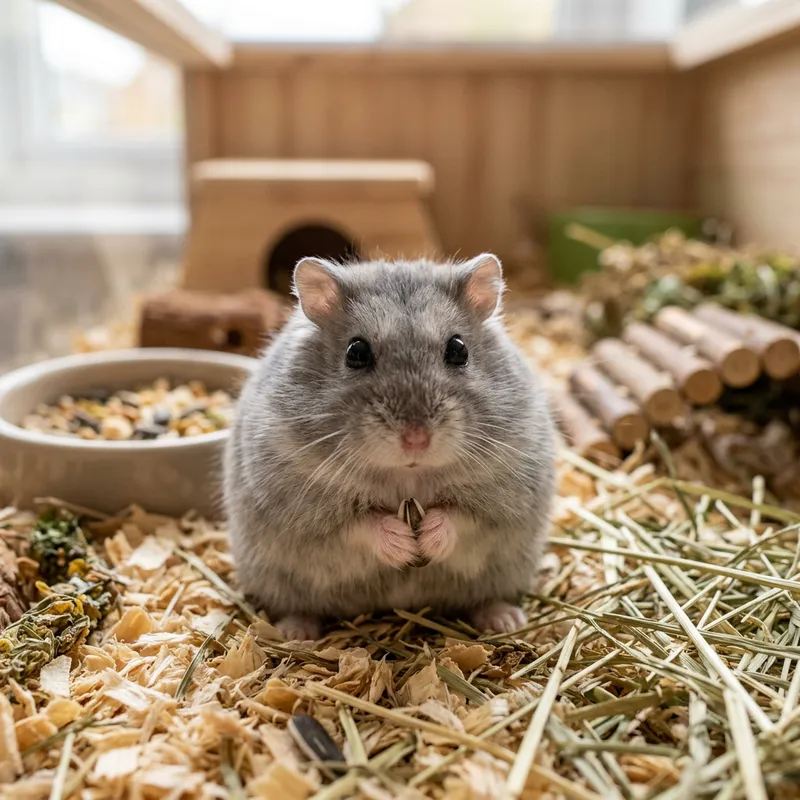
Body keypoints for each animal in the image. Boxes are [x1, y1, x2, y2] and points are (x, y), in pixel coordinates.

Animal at [224, 254, 556, 641]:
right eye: (356, 352)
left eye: (458, 349)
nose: (416, 439)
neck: (407, 473)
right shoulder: (309, 510)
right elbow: (363, 524)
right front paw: (405, 548)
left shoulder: (502, 497)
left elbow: (459, 516)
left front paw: (425, 542)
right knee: (299, 607)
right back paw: (296, 634)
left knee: (488, 598)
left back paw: (506, 621)